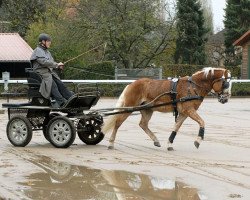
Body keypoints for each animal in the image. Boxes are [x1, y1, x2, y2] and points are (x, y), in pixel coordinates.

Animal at [102, 67, 231, 150]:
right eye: (226, 83)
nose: (225, 99)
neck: (193, 86)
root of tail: (131, 84)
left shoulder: (184, 113)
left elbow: (176, 127)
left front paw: (169, 144)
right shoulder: (189, 110)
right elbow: (202, 122)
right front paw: (198, 140)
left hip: (147, 109)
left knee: (143, 124)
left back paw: (156, 140)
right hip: (130, 107)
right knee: (118, 122)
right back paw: (111, 143)